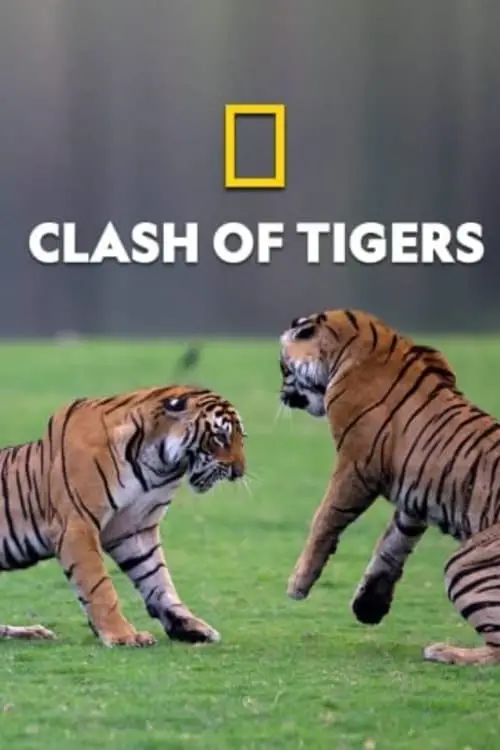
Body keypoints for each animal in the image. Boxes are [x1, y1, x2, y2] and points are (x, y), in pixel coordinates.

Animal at [0, 384, 246, 647]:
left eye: (242, 438)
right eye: (220, 437)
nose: (239, 472)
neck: (158, 466)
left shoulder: (133, 529)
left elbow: (157, 579)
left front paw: (189, 626)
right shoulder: (77, 525)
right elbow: (98, 585)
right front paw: (122, 635)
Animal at [279, 308, 500, 666]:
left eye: (282, 367)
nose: (282, 395)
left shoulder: (356, 466)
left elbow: (325, 518)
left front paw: (299, 583)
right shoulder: (414, 496)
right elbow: (392, 543)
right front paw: (369, 605)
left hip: (465, 563)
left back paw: (443, 651)